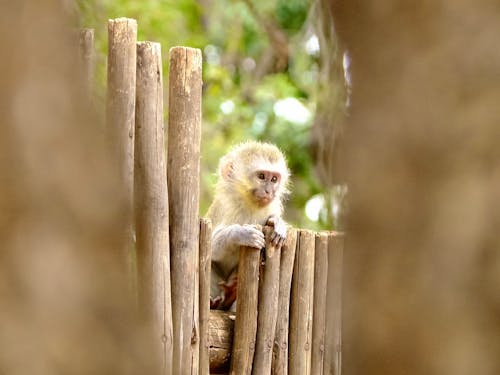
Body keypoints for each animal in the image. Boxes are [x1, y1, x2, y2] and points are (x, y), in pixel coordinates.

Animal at [206, 142, 292, 312]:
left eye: (274, 179)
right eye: (261, 176)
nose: (269, 191)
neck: (250, 204)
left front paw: (278, 223)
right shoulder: (225, 207)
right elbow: (210, 249)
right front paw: (241, 234)